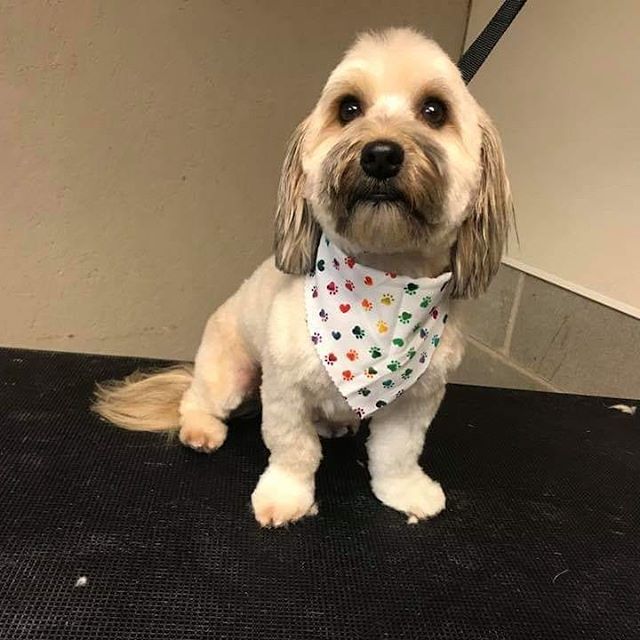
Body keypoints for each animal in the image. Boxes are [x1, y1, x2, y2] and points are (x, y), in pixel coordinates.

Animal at [95, 28, 512, 524]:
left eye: (435, 111)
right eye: (348, 109)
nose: (380, 155)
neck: (385, 288)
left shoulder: (416, 400)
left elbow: (396, 453)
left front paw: (406, 491)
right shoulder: (284, 389)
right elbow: (294, 450)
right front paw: (285, 497)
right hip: (229, 369)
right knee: (198, 400)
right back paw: (201, 429)